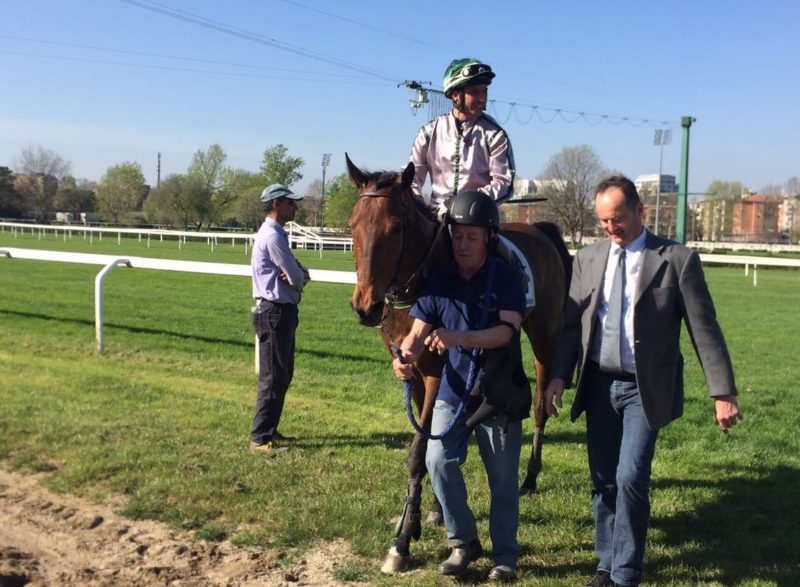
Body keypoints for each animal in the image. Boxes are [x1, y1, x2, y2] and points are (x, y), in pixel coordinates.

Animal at [346, 155, 572, 576]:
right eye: (352, 224)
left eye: (396, 227)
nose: (365, 307)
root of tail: (539, 229)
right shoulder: (414, 374)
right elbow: (432, 437)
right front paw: (431, 512)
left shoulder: (438, 372)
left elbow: (419, 452)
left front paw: (403, 540)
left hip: (543, 335)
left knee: (540, 405)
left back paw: (530, 479)